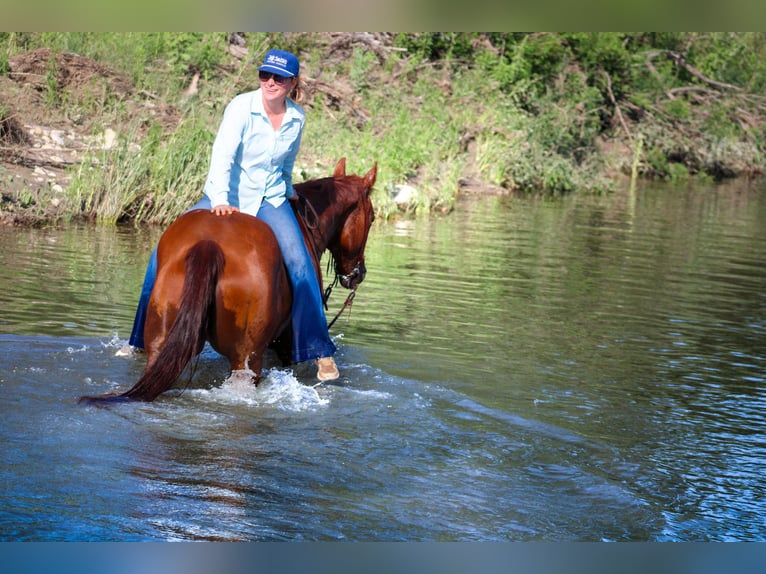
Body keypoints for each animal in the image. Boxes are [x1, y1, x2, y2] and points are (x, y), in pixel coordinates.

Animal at [79, 155, 376, 402]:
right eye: (372, 218)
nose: (358, 274)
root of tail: (210, 245)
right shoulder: (282, 346)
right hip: (246, 359)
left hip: (161, 340)